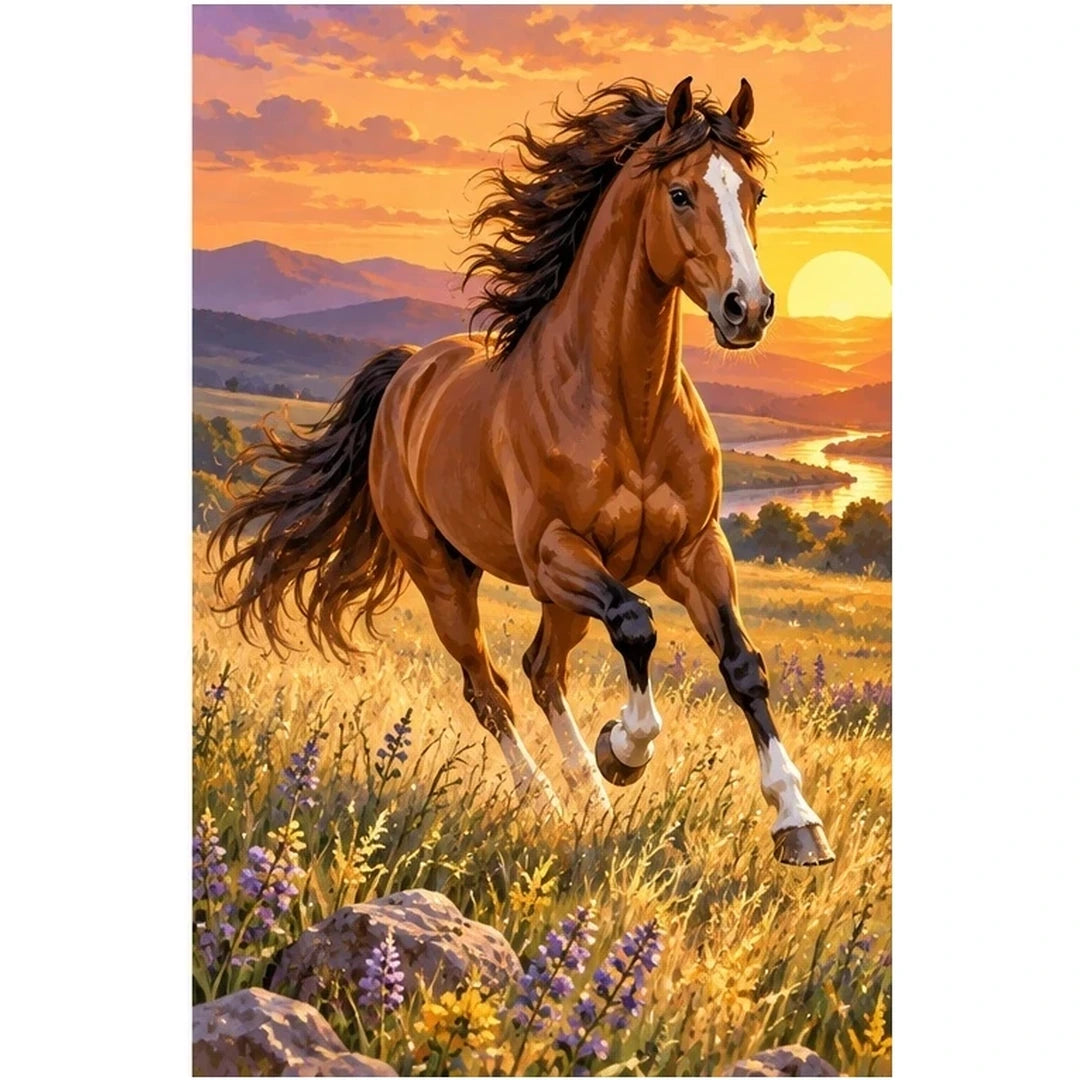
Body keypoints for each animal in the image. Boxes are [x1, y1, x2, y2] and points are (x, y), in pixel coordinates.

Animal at [211, 76, 835, 867]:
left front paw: (797, 822)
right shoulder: (555, 554)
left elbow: (742, 665)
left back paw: (590, 797)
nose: (747, 308)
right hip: (446, 578)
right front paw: (625, 748)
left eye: (754, 191)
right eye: (681, 193)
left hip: (556, 594)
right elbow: (636, 626)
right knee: (492, 687)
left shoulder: (695, 551)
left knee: (543, 669)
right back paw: (550, 797)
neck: (625, 408)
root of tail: (407, 373)